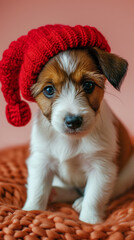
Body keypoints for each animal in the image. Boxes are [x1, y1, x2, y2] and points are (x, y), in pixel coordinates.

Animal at [22, 47, 133, 225]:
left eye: (88, 85)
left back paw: (78, 201)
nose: (73, 121)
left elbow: (94, 197)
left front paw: (90, 221)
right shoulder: (41, 161)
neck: (71, 140)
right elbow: (37, 189)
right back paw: (55, 192)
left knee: (109, 190)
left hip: (127, 173)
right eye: (48, 90)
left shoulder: (101, 168)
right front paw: (31, 210)